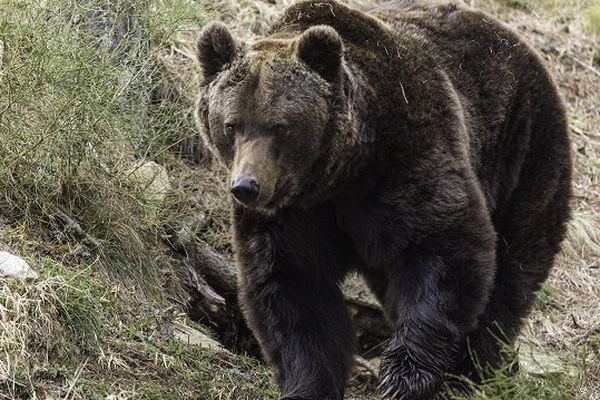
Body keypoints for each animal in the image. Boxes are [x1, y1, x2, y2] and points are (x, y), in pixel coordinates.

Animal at [193, 1, 572, 398]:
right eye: (231, 124)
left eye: (279, 126)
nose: (246, 186)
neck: (339, 175)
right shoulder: (292, 216)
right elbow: (292, 291)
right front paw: (310, 384)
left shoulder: (409, 156)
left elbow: (446, 248)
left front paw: (404, 376)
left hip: (524, 146)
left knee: (515, 264)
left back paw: (474, 368)